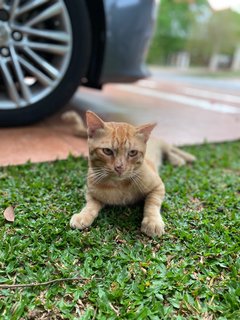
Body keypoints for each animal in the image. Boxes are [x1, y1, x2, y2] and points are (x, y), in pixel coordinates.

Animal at [62, 110, 195, 238]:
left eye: (132, 153)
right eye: (107, 151)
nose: (119, 167)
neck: (118, 185)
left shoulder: (158, 186)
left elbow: (152, 204)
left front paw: (153, 222)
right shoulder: (91, 192)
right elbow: (90, 205)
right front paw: (83, 215)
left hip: (164, 145)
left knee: (171, 149)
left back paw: (182, 158)